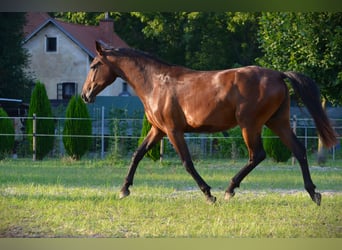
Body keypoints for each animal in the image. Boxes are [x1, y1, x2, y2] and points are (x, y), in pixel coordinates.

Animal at [81, 41, 336, 205]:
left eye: (94, 66)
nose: (85, 95)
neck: (156, 83)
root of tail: (278, 74)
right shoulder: (158, 130)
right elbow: (137, 154)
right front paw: (124, 189)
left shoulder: (173, 131)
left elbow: (187, 162)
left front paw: (208, 194)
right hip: (277, 122)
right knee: (299, 150)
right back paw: (314, 193)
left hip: (250, 125)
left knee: (257, 155)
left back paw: (229, 190)